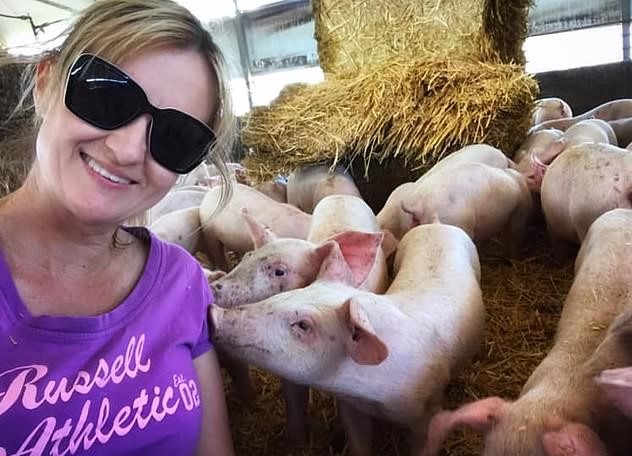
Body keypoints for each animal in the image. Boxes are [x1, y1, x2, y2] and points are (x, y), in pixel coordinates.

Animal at [211, 222, 485, 456]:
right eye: (282, 297)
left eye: (303, 325)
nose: (214, 312)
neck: (375, 399)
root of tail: (438, 223)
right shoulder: (351, 407)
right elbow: (358, 441)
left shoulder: (429, 410)